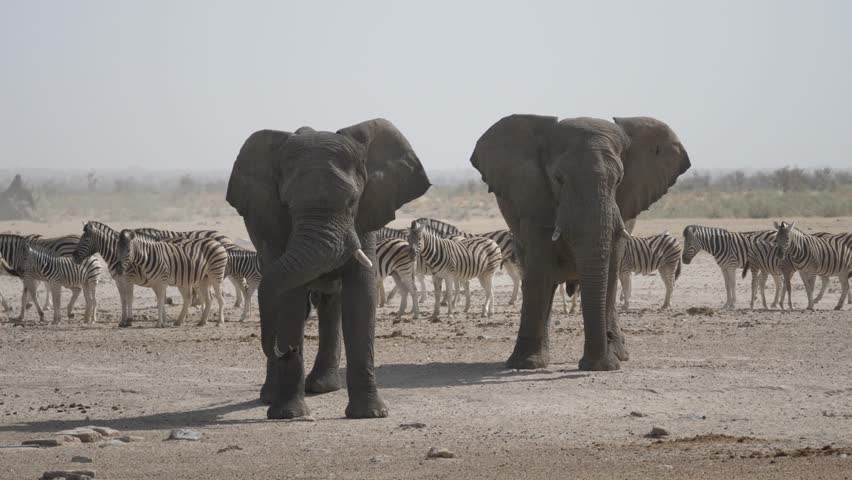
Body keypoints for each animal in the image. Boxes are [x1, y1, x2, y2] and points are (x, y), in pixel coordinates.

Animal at [226, 119, 430, 419]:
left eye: (352, 202)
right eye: (287, 204)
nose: (286, 349)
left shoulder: (368, 214)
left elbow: (361, 294)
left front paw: (369, 414)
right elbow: (289, 298)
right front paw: (289, 414)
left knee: (330, 303)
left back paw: (322, 386)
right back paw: (271, 396)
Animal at [470, 115, 690, 371]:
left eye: (619, 180)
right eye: (558, 179)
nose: (599, 363)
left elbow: (610, 271)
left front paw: (607, 362)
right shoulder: (534, 200)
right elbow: (539, 272)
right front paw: (527, 364)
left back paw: (620, 354)